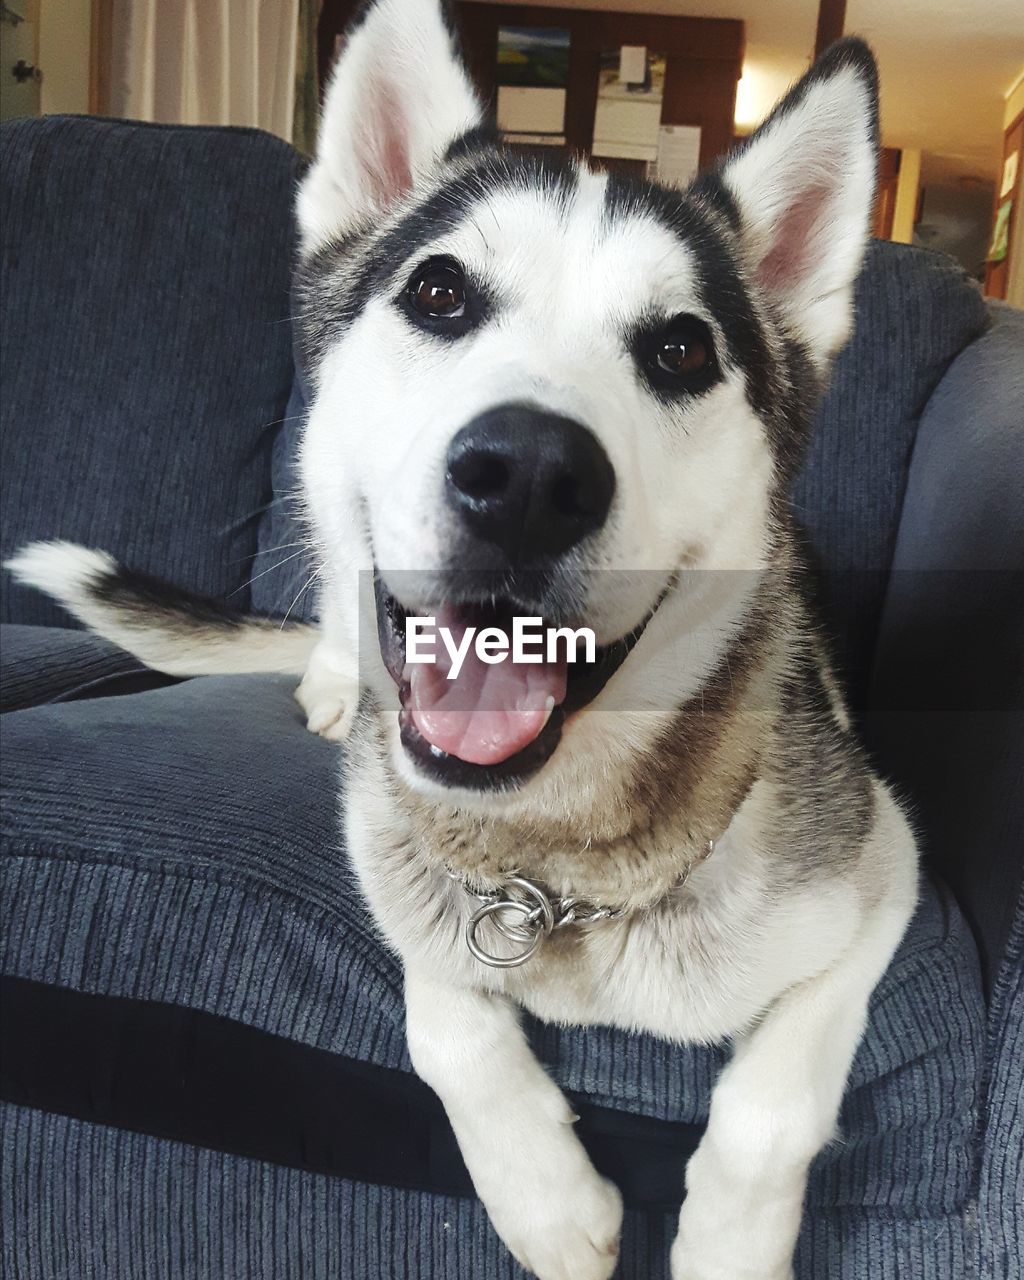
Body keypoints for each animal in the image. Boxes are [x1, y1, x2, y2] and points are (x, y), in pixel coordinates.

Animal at [8, 5, 921, 1274]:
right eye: (438, 292)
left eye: (682, 350)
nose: (527, 476)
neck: (551, 857)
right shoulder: (387, 850)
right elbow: (440, 1014)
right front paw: (546, 1196)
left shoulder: (881, 879)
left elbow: (769, 1104)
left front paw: (727, 1244)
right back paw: (327, 681)